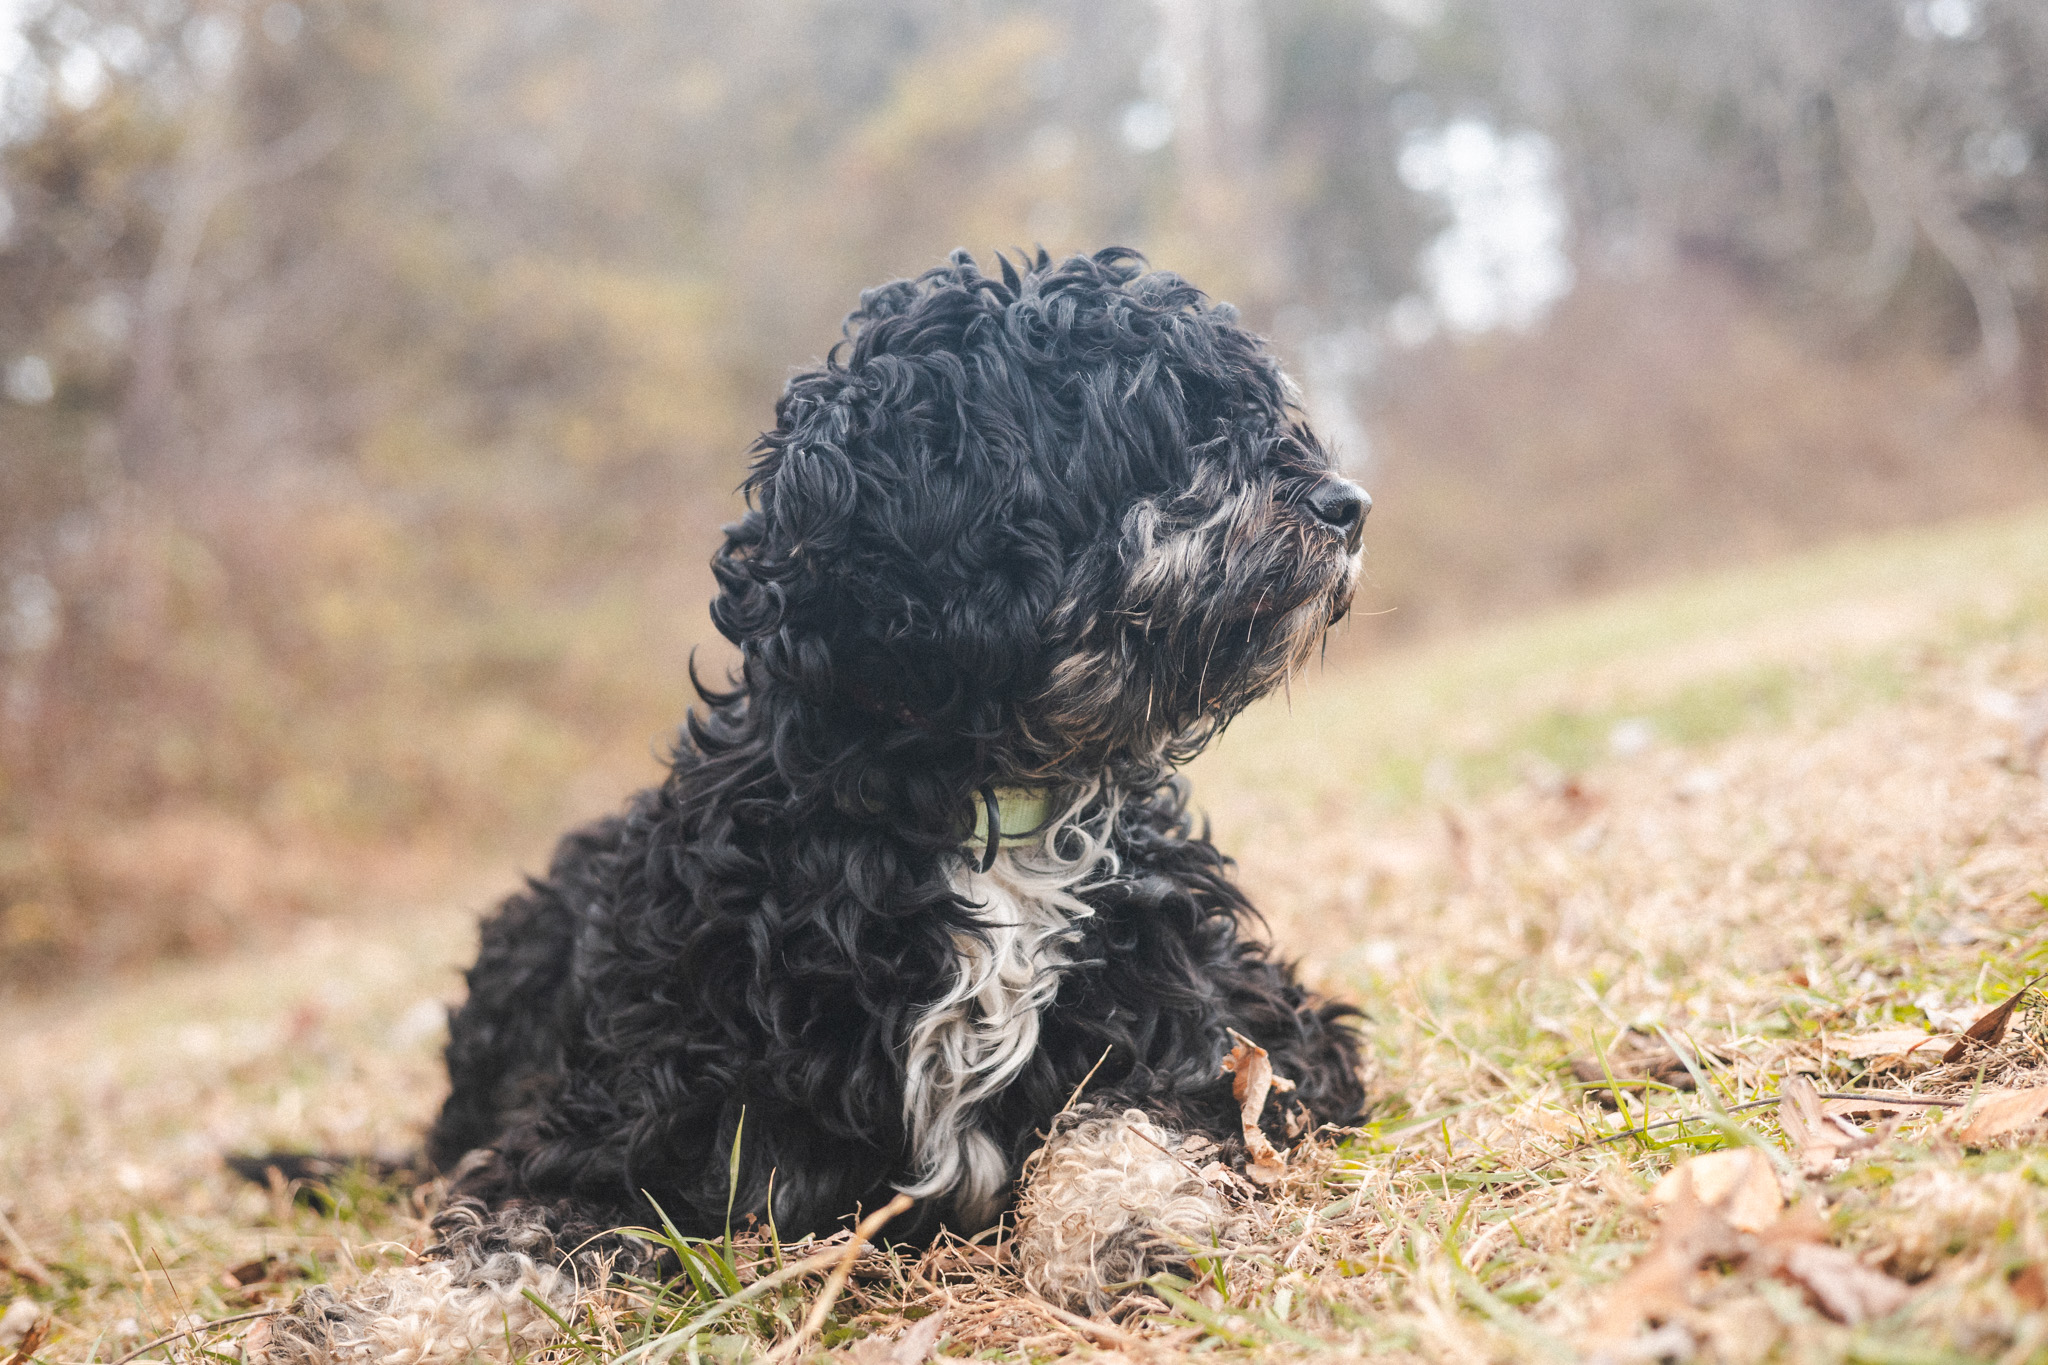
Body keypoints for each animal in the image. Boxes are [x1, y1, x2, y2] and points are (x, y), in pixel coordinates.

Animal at [255, 247, 1369, 1363]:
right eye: (1160, 424)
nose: (1348, 503)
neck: (988, 809)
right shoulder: (620, 1120)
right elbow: (514, 1232)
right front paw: (381, 1320)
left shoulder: (1259, 1021)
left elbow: (1128, 1117)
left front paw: (1131, 1229)